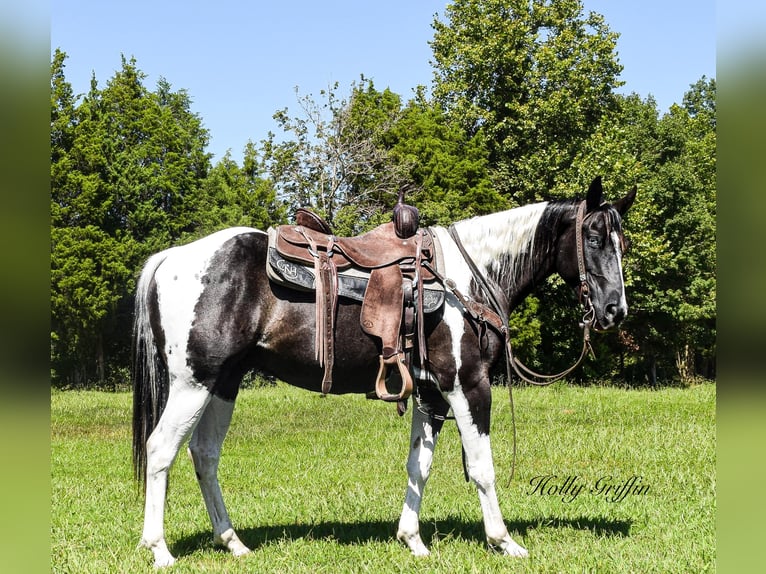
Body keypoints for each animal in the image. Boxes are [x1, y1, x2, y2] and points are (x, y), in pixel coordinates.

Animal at [130, 176, 636, 568]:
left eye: (622, 243)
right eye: (593, 238)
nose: (616, 310)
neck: (471, 278)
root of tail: (171, 257)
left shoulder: (431, 394)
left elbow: (419, 465)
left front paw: (413, 541)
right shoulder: (467, 385)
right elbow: (482, 468)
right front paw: (504, 542)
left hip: (223, 383)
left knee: (204, 454)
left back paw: (233, 542)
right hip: (193, 383)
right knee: (161, 450)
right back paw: (160, 550)